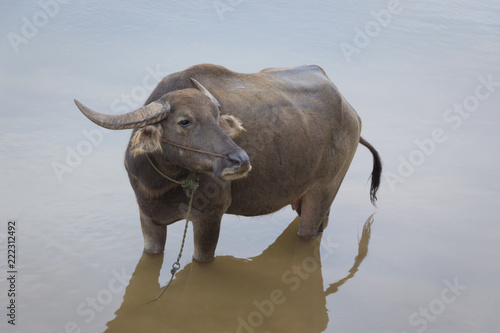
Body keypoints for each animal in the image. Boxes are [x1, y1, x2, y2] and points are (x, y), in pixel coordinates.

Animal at [74, 63, 380, 260]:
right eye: (184, 121)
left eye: (217, 117)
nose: (241, 160)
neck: (161, 185)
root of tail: (351, 113)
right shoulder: (147, 217)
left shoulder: (210, 218)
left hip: (323, 192)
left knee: (309, 230)